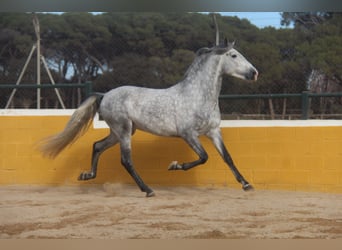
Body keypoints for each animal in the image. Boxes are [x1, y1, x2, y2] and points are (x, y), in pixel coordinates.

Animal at [40, 41, 258, 197]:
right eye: (233, 55)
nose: (254, 73)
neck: (197, 95)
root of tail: (105, 95)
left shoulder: (213, 131)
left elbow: (227, 157)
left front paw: (247, 185)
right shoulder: (188, 134)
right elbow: (204, 157)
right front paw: (175, 165)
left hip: (119, 131)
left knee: (97, 146)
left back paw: (87, 175)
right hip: (124, 130)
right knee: (126, 160)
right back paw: (148, 190)